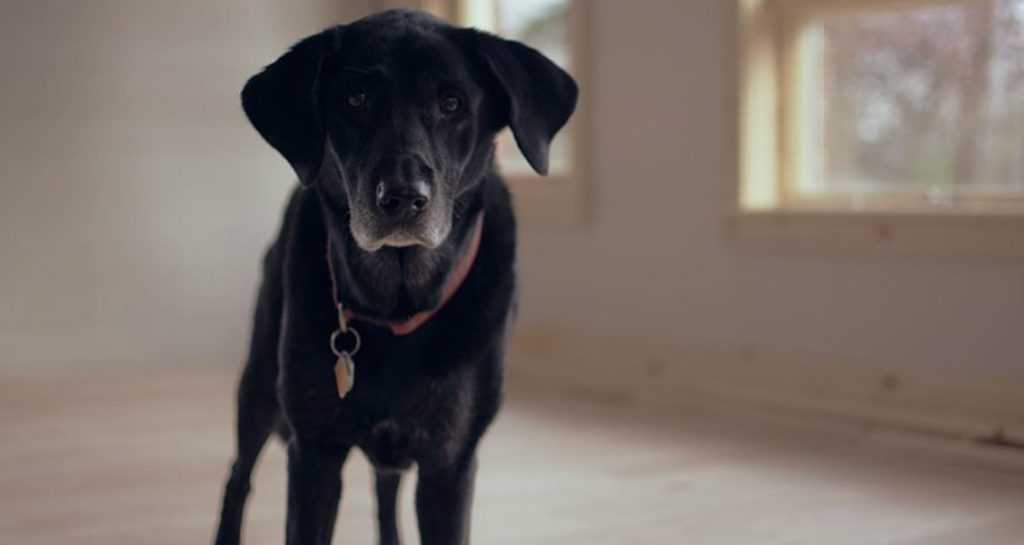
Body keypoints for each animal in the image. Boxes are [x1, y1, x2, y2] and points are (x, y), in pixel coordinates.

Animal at [211, 9, 577, 545]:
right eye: (355, 99)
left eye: (452, 103)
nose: (403, 198)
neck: (399, 301)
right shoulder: (314, 452)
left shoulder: (449, 461)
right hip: (259, 382)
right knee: (239, 476)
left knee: (385, 488)